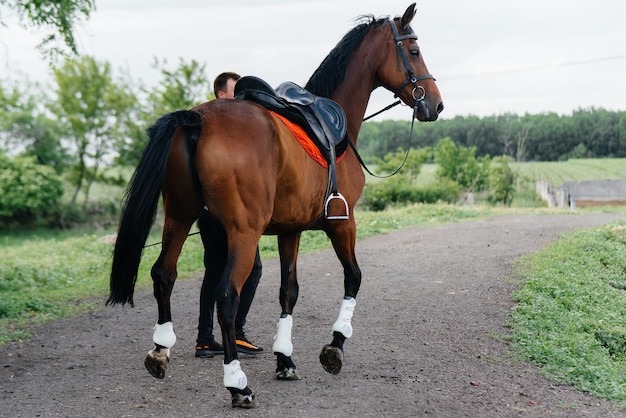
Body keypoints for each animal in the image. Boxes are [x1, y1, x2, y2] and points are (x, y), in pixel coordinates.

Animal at [106, 2, 438, 408]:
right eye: (414, 51)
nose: (436, 103)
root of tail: (196, 118)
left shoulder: (290, 231)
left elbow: (288, 291)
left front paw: (285, 359)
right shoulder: (342, 223)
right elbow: (354, 277)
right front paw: (335, 345)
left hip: (180, 218)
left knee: (163, 275)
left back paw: (160, 350)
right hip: (243, 234)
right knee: (226, 296)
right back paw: (238, 384)